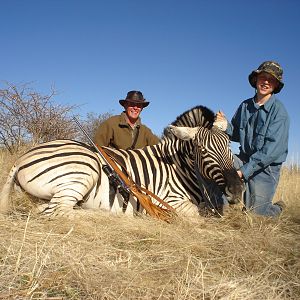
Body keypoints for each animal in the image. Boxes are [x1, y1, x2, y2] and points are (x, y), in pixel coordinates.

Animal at [0, 106, 244, 219]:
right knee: (59, 211)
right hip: (83, 171)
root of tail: (22, 158)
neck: (179, 169)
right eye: (203, 150)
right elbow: (196, 216)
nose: (236, 189)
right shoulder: (170, 200)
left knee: (44, 208)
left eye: (229, 147)